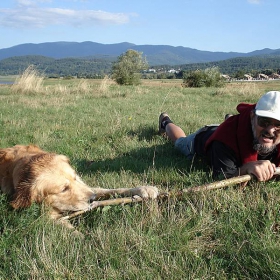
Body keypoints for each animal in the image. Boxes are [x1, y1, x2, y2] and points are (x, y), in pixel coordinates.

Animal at [0, 145, 159, 226]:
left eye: (75, 178)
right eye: (63, 189)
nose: (92, 199)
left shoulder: (86, 186)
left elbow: (112, 189)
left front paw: (145, 189)